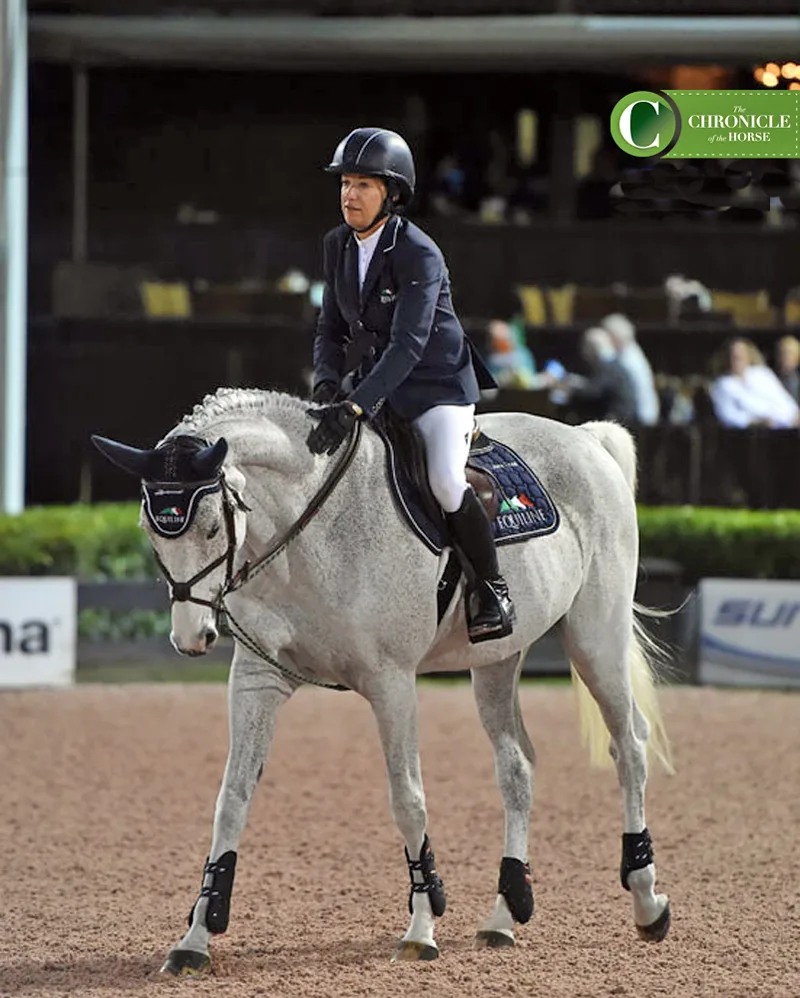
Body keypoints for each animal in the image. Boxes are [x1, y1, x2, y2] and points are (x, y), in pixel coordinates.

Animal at [90, 388, 672, 976]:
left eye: (212, 527)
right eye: (150, 531)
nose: (192, 637)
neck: (308, 530)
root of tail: (584, 437)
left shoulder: (392, 683)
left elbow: (407, 799)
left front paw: (422, 927)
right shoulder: (258, 679)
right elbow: (231, 799)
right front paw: (196, 936)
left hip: (595, 638)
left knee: (629, 747)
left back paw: (647, 901)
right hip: (497, 659)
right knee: (517, 768)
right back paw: (505, 914)